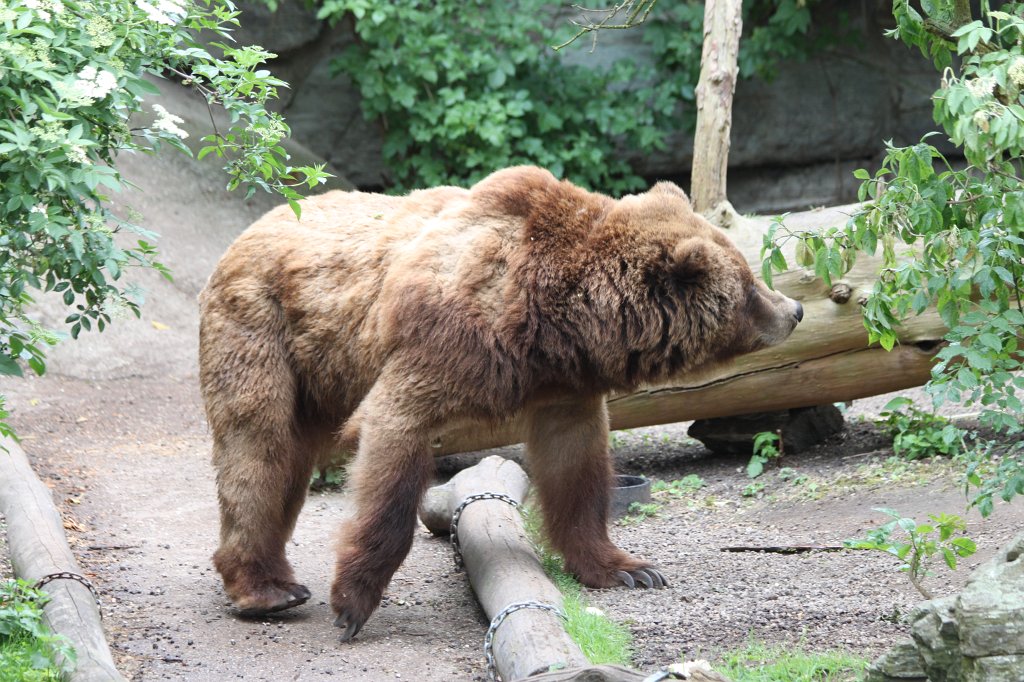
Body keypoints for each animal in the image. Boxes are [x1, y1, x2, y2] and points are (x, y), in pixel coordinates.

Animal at [198, 166, 803, 641]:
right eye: (749, 283)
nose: (794, 309)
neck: (549, 316)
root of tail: (247, 230)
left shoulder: (562, 384)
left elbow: (575, 467)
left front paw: (628, 568)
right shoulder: (439, 341)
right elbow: (393, 447)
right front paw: (353, 604)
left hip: (313, 373)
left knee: (287, 464)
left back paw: (275, 579)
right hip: (263, 328)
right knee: (259, 450)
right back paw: (265, 590)